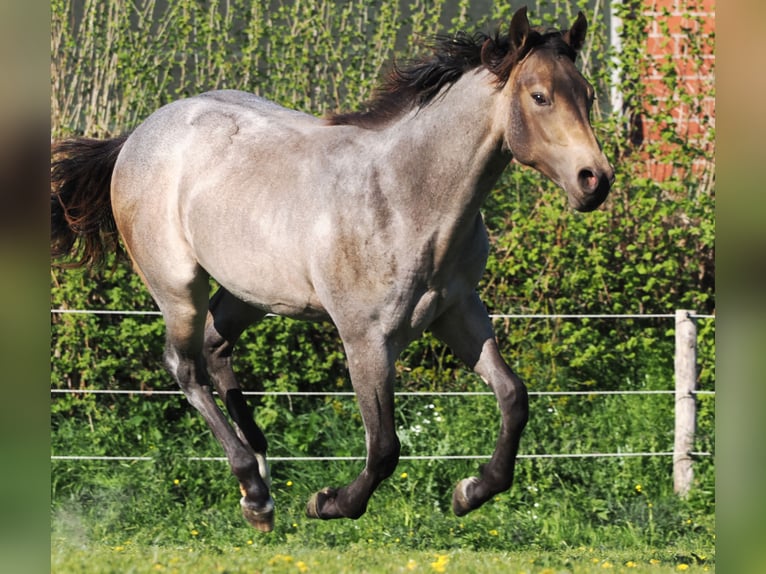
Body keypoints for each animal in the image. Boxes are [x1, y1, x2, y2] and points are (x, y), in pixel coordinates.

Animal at [51, 6, 613, 532]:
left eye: (587, 94)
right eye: (539, 96)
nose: (595, 180)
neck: (408, 198)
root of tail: (137, 135)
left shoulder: (458, 313)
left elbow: (514, 398)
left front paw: (470, 491)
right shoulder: (366, 338)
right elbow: (384, 445)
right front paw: (330, 503)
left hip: (253, 292)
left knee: (214, 346)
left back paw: (259, 468)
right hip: (177, 285)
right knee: (185, 365)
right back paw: (255, 493)